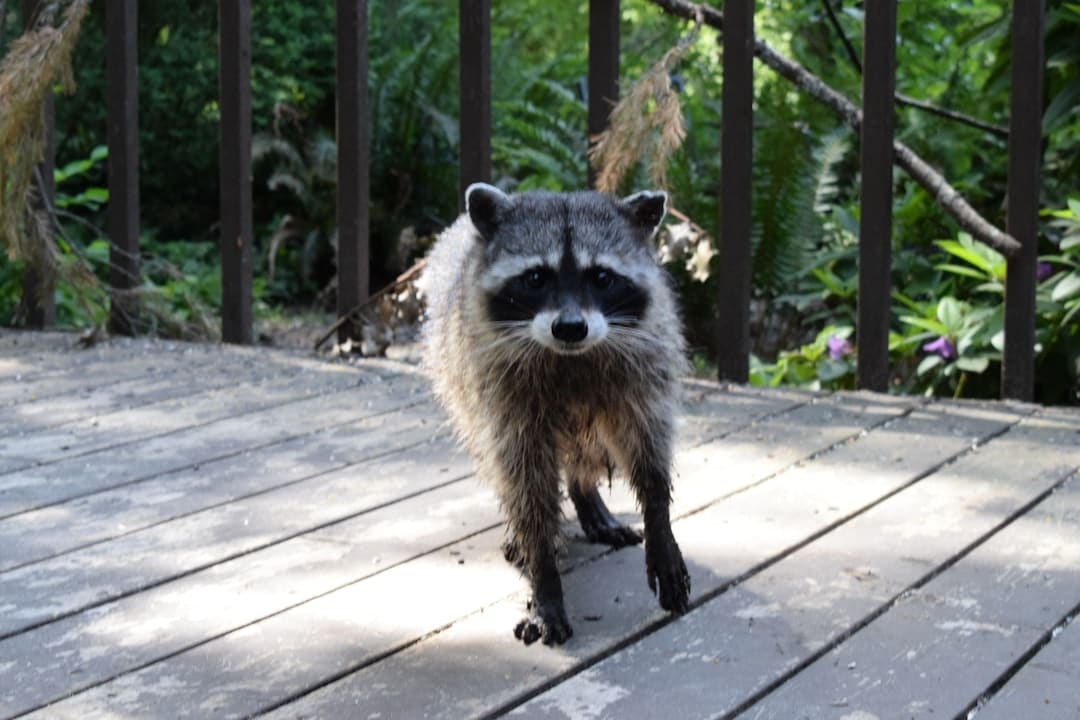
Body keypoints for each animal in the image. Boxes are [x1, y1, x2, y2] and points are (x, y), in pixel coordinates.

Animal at [420, 183, 691, 646]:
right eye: (535, 278)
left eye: (602, 277)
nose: (569, 328)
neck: (571, 357)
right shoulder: (500, 392)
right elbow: (525, 485)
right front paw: (543, 576)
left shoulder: (643, 369)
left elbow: (648, 449)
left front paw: (660, 523)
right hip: (457, 378)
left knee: (589, 447)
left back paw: (586, 494)